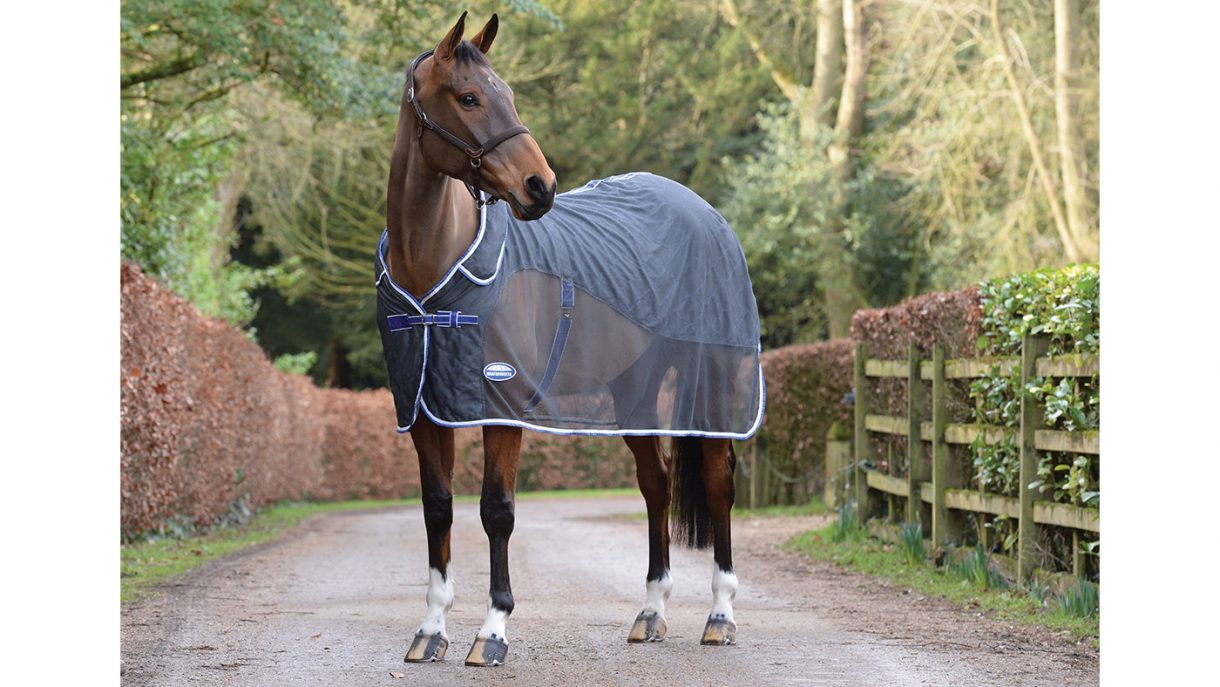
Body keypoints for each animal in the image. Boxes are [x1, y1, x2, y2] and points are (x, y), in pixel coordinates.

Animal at [380, 11, 762, 667]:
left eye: (509, 94)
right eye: (469, 97)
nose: (541, 187)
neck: (435, 268)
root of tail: (707, 214)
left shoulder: (502, 405)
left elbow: (497, 510)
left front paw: (492, 631)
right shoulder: (426, 409)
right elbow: (437, 510)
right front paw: (430, 630)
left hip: (712, 383)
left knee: (718, 485)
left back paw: (720, 616)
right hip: (633, 390)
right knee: (656, 484)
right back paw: (651, 613)